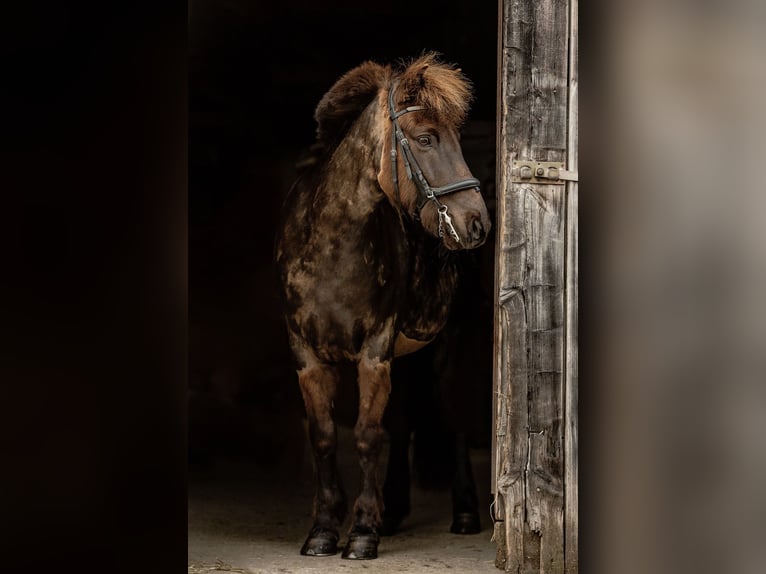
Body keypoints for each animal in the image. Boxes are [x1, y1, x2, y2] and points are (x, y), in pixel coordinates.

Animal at [276, 55, 492, 564]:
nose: (477, 222)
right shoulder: (307, 356)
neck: (333, 248)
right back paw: (393, 512)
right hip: (407, 356)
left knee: (453, 420)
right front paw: (323, 531)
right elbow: (326, 436)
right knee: (406, 421)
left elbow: (367, 435)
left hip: (449, 347)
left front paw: (361, 534)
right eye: (426, 137)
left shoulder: (373, 354)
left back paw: (464, 513)